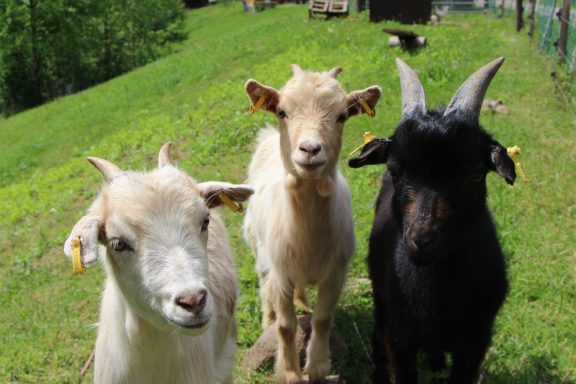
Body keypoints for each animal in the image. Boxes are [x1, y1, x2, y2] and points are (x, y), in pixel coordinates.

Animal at [244, 64, 382, 382]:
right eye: (282, 112)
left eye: (342, 116)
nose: (309, 150)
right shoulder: (281, 272)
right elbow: (286, 326)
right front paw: (290, 372)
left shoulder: (336, 271)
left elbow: (322, 319)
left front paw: (317, 366)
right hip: (258, 247)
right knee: (263, 284)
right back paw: (266, 319)